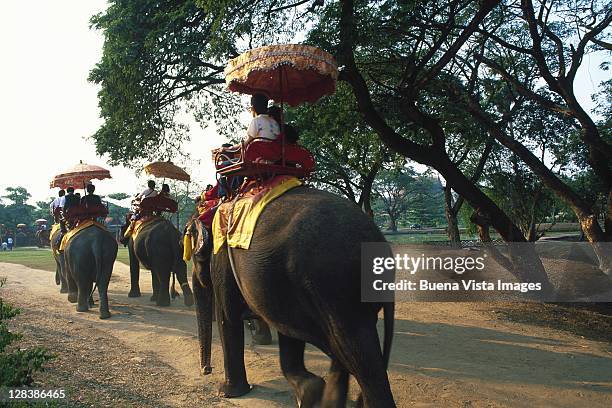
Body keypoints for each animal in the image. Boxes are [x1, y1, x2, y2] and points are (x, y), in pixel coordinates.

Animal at [191, 186, 394, 406]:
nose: (206, 370)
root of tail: (379, 242)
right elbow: (287, 332)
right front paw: (309, 391)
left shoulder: (221, 261)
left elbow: (228, 318)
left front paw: (228, 392)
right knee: (343, 349)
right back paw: (328, 398)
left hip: (335, 289)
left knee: (354, 351)